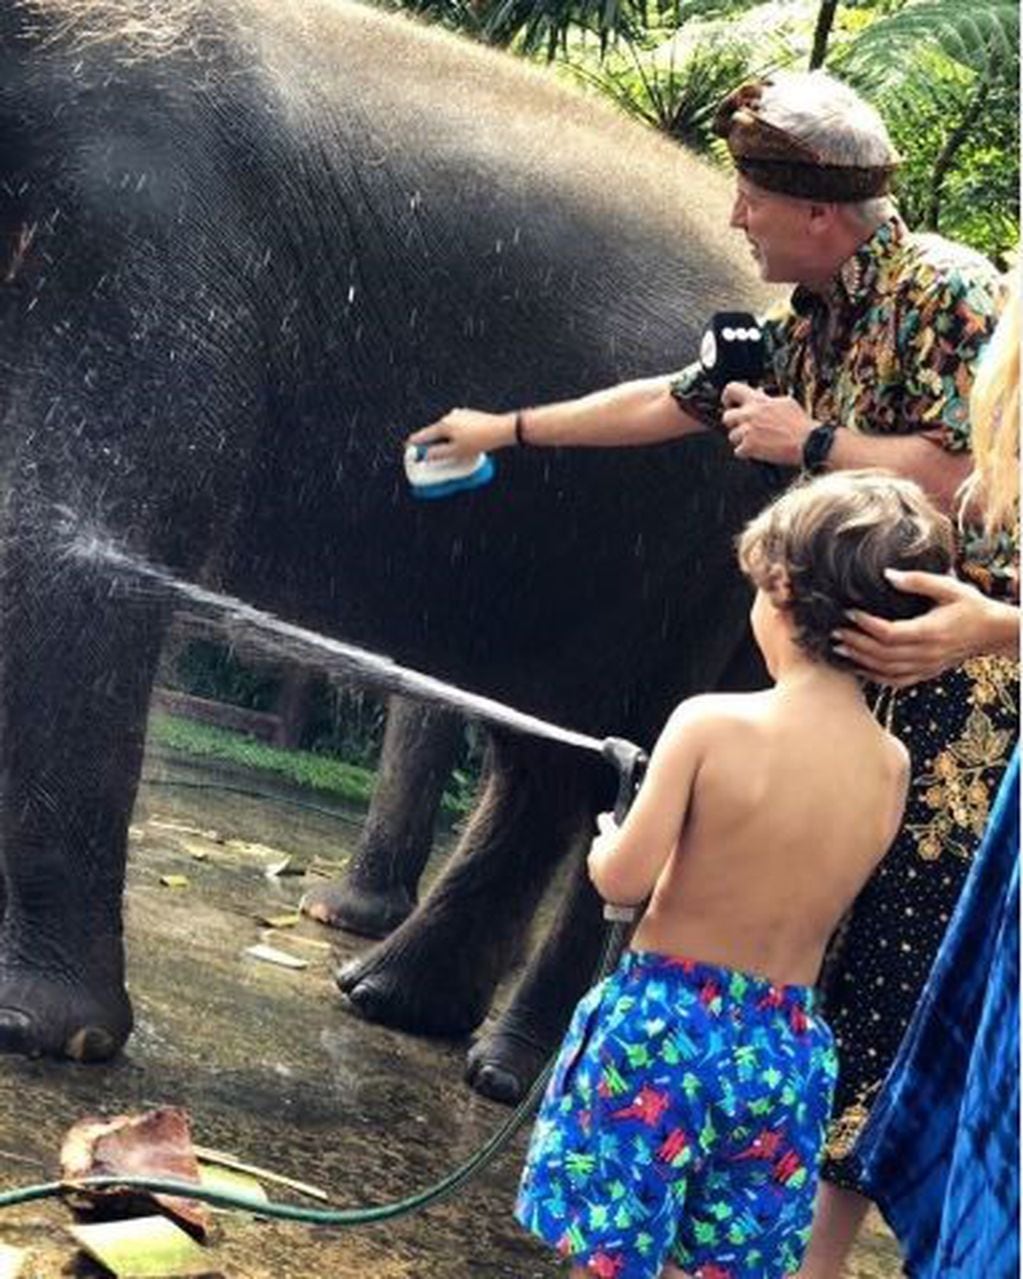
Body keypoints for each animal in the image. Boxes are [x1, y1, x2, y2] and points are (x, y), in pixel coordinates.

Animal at [0, 0, 782, 1089]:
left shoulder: (145, 227)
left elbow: (69, 539)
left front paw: (39, 1030)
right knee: (555, 756)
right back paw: (391, 1000)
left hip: (708, 528)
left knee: (639, 750)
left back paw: (496, 1060)